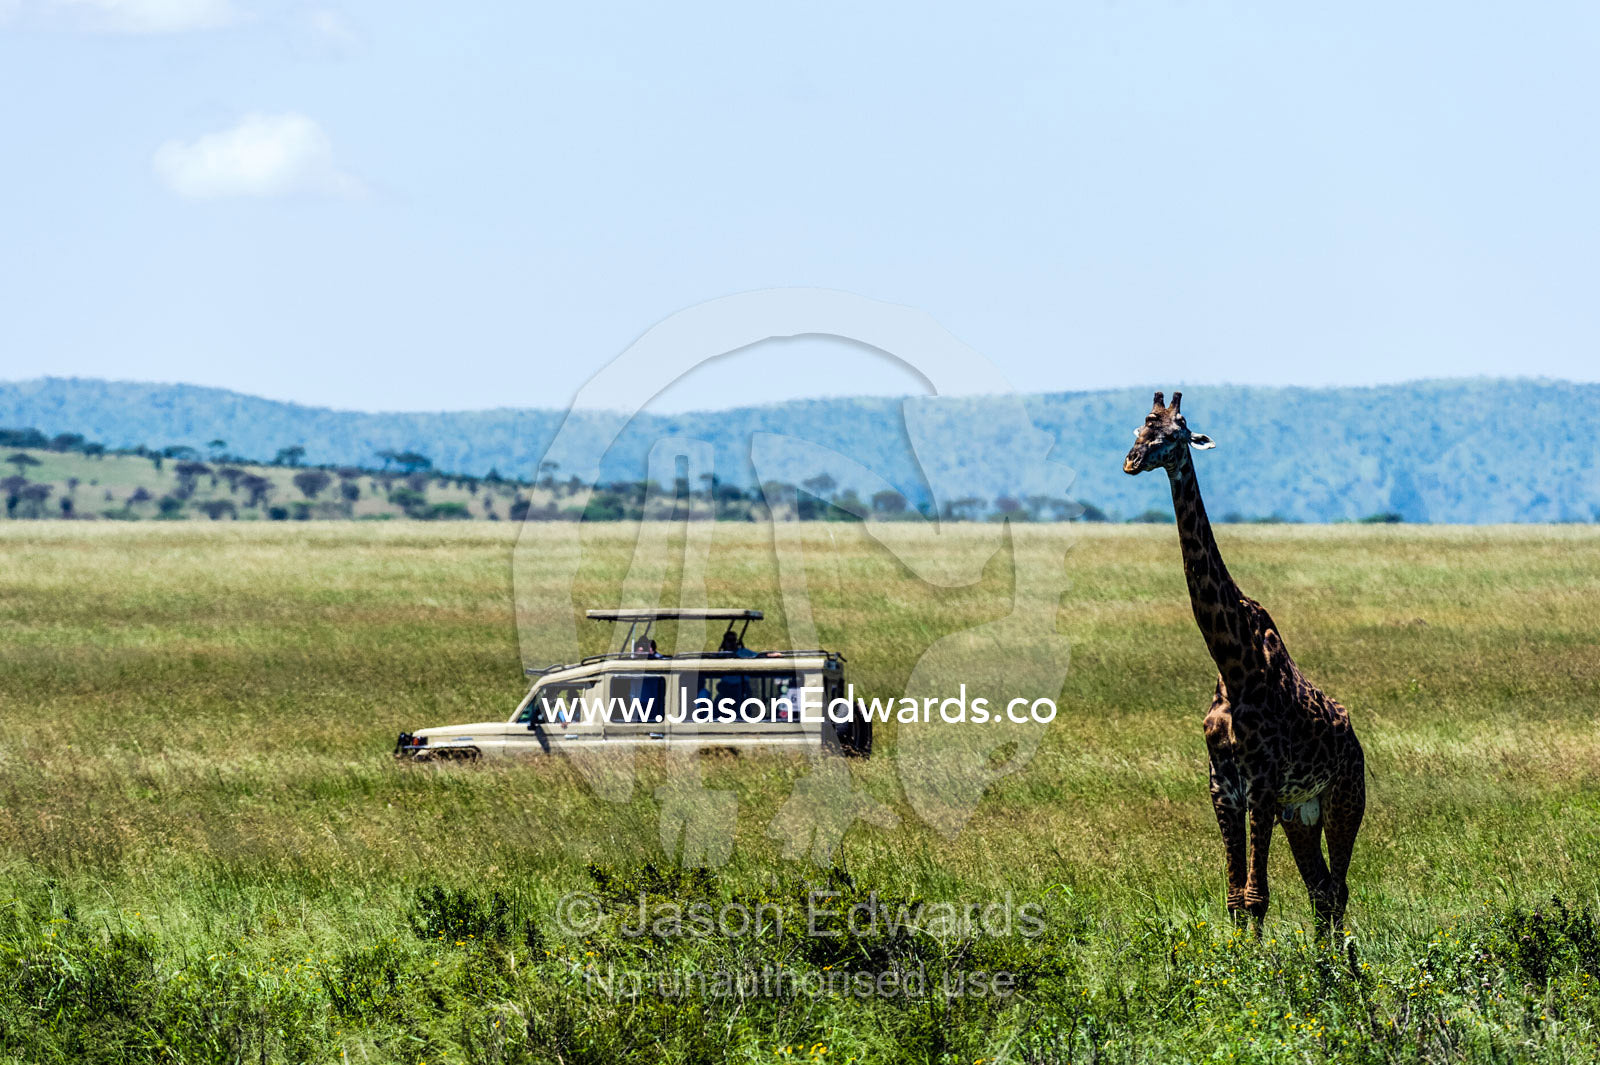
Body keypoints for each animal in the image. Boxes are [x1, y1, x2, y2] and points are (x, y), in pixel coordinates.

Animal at [1122, 391, 1366, 934]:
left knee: (1338, 889)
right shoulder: (1222, 785)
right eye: (1140, 427)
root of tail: (1356, 739)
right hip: (1301, 813)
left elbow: (1256, 896)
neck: (1232, 661)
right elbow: (1235, 897)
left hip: (1344, 799)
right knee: (1321, 890)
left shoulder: (1262, 783)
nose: (1132, 461)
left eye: (1176, 431)